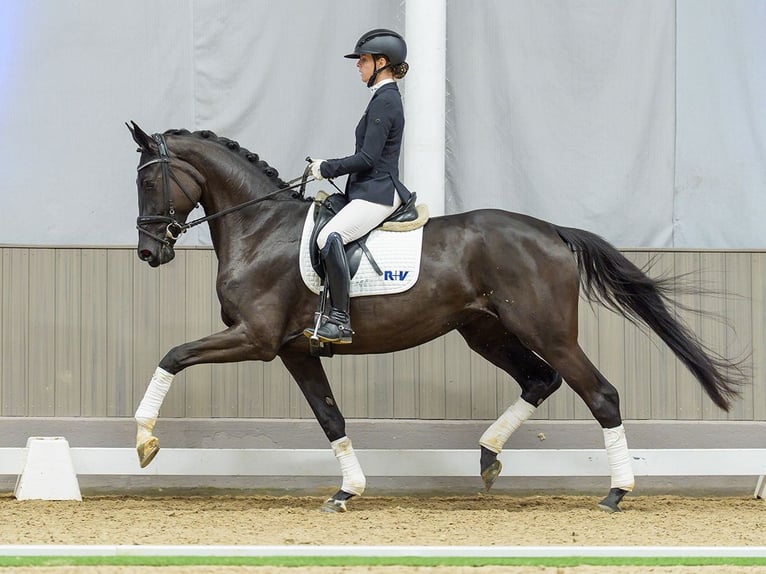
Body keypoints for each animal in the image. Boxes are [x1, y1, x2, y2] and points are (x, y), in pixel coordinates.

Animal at [127, 122, 743, 513]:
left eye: (146, 180)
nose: (149, 254)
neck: (261, 230)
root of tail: (550, 230)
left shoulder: (254, 338)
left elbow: (172, 355)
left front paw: (145, 440)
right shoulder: (295, 348)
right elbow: (330, 418)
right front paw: (348, 491)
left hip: (546, 330)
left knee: (600, 394)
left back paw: (617, 492)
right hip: (484, 330)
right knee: (539, 380)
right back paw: (489, 457)